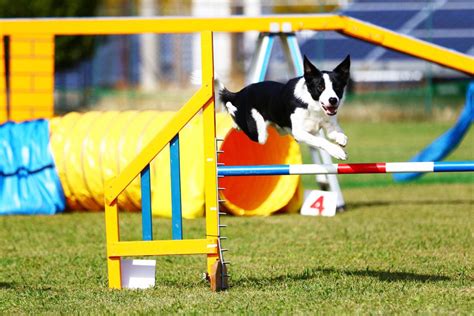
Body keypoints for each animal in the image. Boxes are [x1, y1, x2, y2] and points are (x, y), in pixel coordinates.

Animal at [220, 55, 350, 160]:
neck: (312, 104)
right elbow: (320, 140)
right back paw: (232, 110)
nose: (333, 100)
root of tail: (241, 92)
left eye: (337, 87)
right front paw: (337, 151)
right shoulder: (299, 132)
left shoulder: (326, 125)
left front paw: (341, 140)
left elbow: (339, 134)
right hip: (258, 133)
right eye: (320, 87)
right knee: (231, 108)